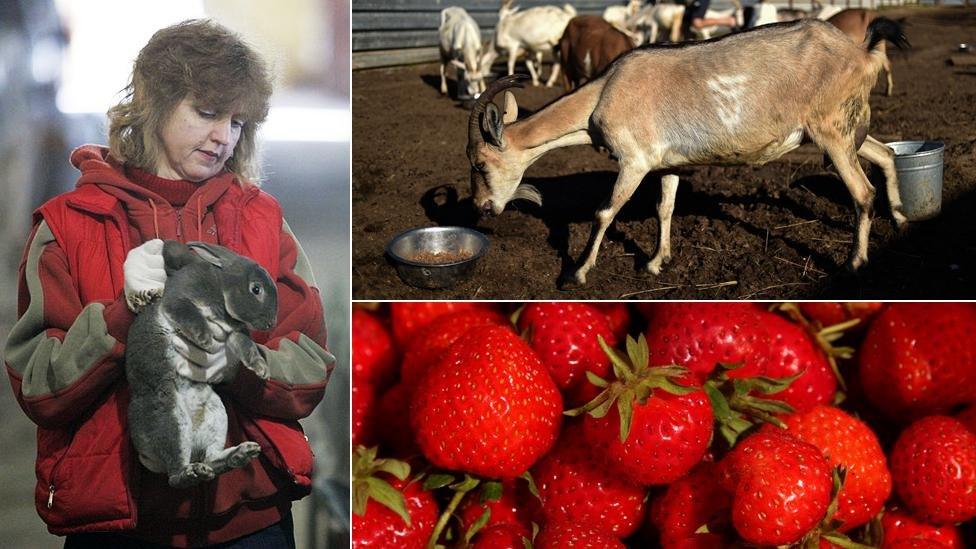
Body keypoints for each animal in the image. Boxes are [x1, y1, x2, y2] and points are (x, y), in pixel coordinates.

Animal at [126, 240, 278, 488]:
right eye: (256, 289)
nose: (271, 323)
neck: (222, 288)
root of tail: (145, 454)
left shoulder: (235, 332)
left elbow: (246, 346)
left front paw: (261, 369)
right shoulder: (181, 300)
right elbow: (189, 314)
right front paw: (204, 339)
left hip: (217, 415)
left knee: (212, 459)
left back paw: (240, 454)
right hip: (170, 418)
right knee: (175, 477)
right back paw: (193, 473)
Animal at [468, 18, 912, 286]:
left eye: (480, 163)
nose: (483, 207)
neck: (604, 93)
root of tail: (864, 53)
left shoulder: (634, 160)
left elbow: (605, 212)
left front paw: (577, 273)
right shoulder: (668, 162)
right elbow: (665, 207)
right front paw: (655, 262)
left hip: (831, 132)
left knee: (862, 193)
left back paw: (855, 263)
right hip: (845, 131)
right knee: (887, 154)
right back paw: (902, 219)